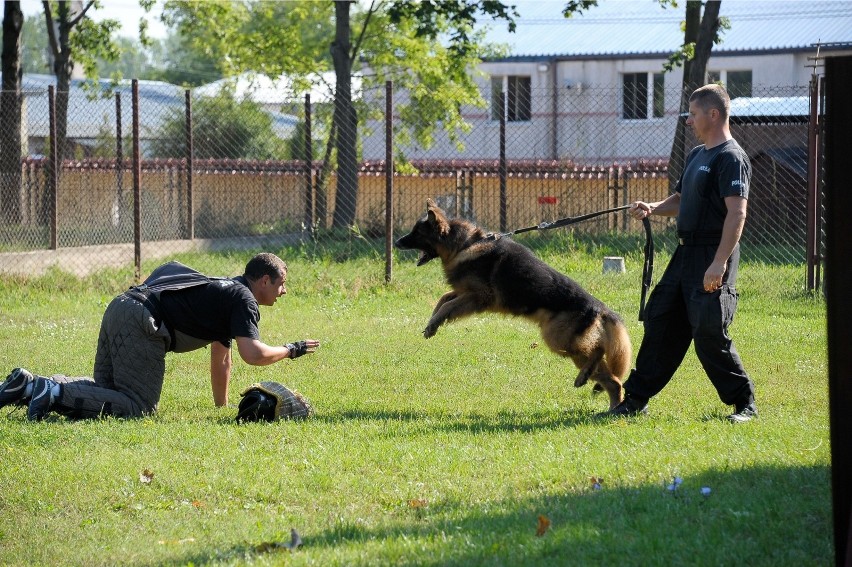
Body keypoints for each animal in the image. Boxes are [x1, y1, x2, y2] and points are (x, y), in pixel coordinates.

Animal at [394, 200, 632, 408]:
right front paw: (432, 323)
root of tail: (600, 307)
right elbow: (443, 300)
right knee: (613, 381)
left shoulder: (478, 296)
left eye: (417, 233)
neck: (464, 245)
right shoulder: (464, 293)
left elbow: (446, 305)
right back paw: (607, 402)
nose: (396, 242)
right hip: (568, 347)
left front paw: (434, 322)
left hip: (558, 340)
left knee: (599, 349)